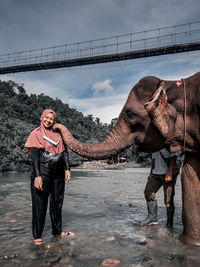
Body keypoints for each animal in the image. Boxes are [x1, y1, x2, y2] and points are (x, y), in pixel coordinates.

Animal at [53, 71, 200, 247]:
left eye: (130, 113)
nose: (54, 126)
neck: (177, 83)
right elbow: (189, 176)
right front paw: (191, 242)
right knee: (152, 193)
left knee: (168, 199)